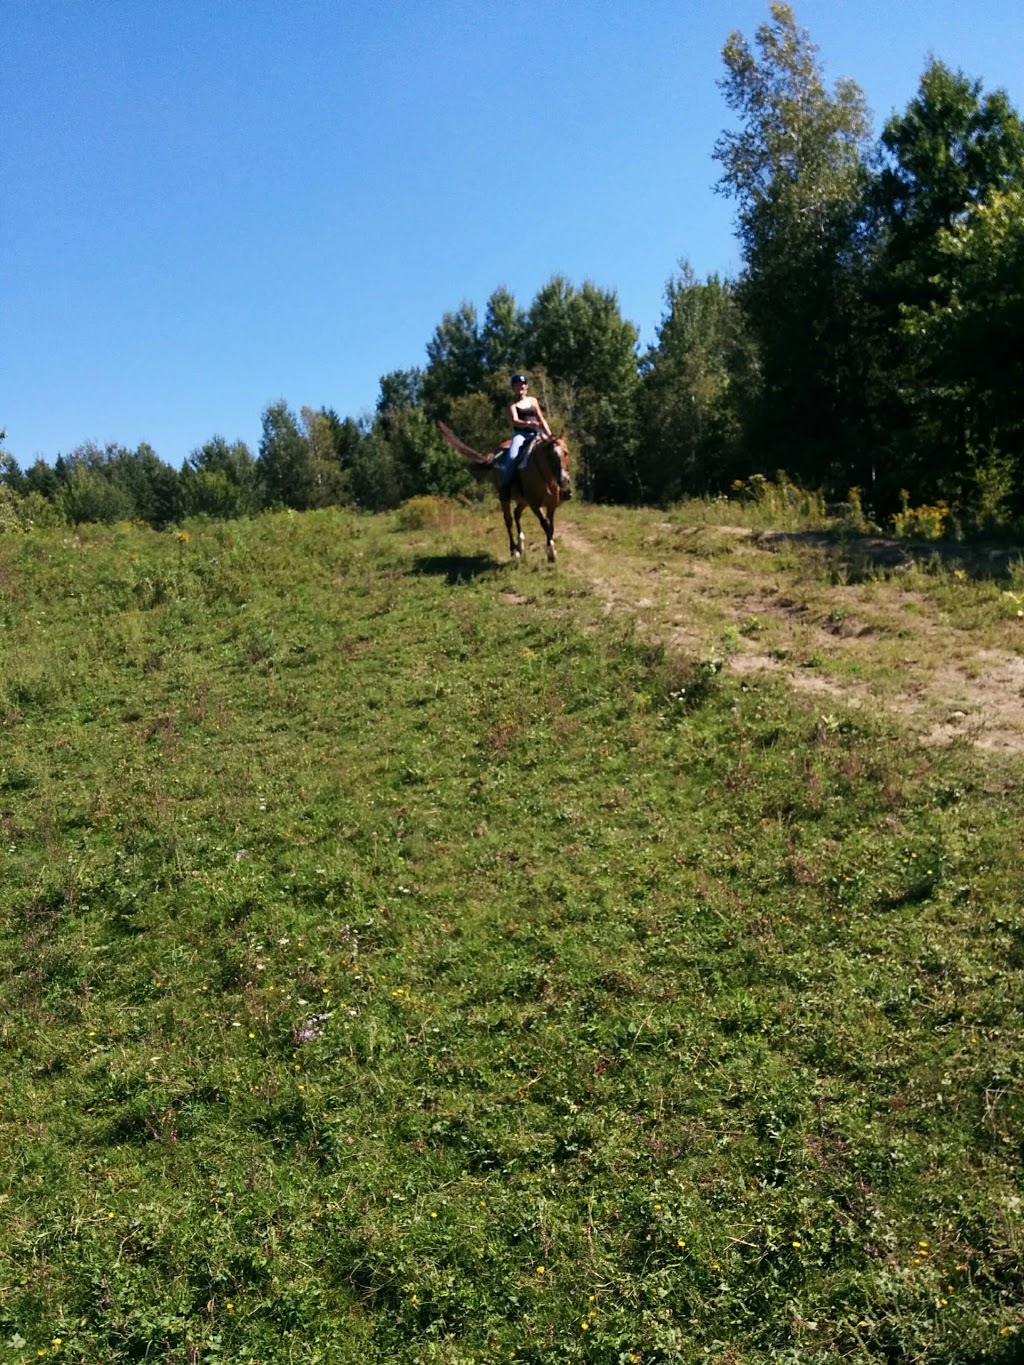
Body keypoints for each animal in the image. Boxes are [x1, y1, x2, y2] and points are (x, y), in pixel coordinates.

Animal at [439, 420, 573, 559]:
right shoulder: (535, 504)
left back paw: (520, 544)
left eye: (566, 452)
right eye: (550, 456)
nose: (563, 481)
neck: (546, 477)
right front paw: (551, 553)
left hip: (523, 501)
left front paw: (551, 550)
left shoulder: (552, 504)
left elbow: (551, 525)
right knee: (508, 520)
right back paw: (514, 550)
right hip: (506, 499)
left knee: (516, 513)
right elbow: (545, 524)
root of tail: (495, 457)